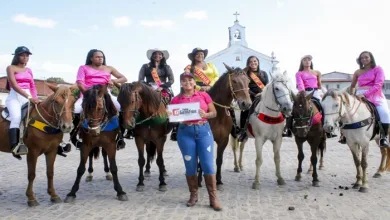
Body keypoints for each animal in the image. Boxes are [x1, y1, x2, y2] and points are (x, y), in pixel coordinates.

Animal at [198, 63, 253, 191]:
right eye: (234, 81)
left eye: (248, 81)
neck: (217, 114)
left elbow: (219, 160)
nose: (246, 104)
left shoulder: (223, 140)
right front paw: (199, 181)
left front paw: (218, 181)